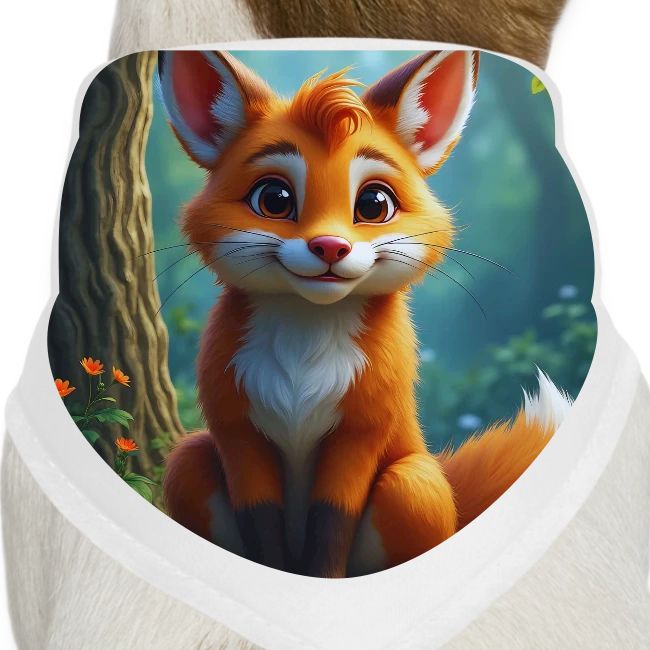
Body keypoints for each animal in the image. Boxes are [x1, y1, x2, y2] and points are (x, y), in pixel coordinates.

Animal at [158, 49, 572, 578]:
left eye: (374, 204)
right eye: (273, 199)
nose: (330, 246)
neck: (303, 358)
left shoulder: (361, 430)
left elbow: (332, 524)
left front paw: (320, 582)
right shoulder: (237, 430)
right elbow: (264, 528)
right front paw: (278, 576)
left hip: (412, 484)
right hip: (188, 462)